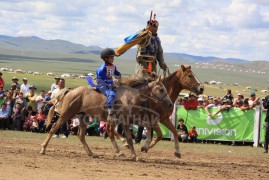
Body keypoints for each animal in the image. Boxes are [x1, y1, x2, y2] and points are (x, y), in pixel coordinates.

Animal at [39, 76, 172, 158]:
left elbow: (147, 130)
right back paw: (43, 149)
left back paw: (92, 153)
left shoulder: (134, 119)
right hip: (66, 114)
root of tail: (70, 91)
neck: (130, 97)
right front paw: (134, 155)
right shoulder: (125, 121)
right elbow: (128, 137)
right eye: (161, 89)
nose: (170, 104)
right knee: (53, 128)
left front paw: (143, 147)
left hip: (83, 118)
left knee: (81, 136)